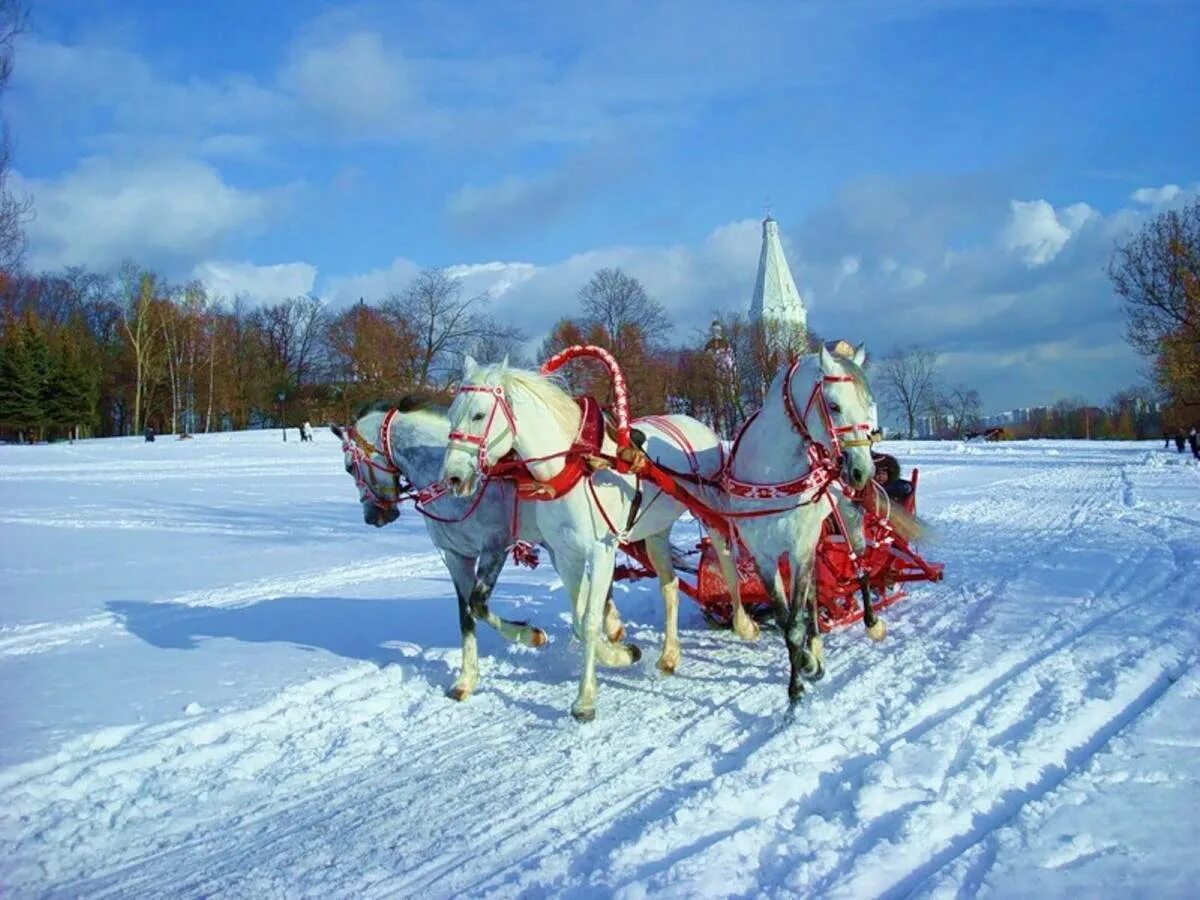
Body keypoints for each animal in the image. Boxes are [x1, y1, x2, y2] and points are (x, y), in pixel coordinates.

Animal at [439, 360, 739, 724]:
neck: (573, 468)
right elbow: (580, 622)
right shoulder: (566, 555)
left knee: (727, 558)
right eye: (451, 414)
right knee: (670, 587)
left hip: (710, 510)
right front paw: (621, 654)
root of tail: (698, 423)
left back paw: (744, 623)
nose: (453, 477)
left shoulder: (602, 551)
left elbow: (591, 620)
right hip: (656, 531)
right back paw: (669, 655)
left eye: (479, 415)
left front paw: (585, 700)